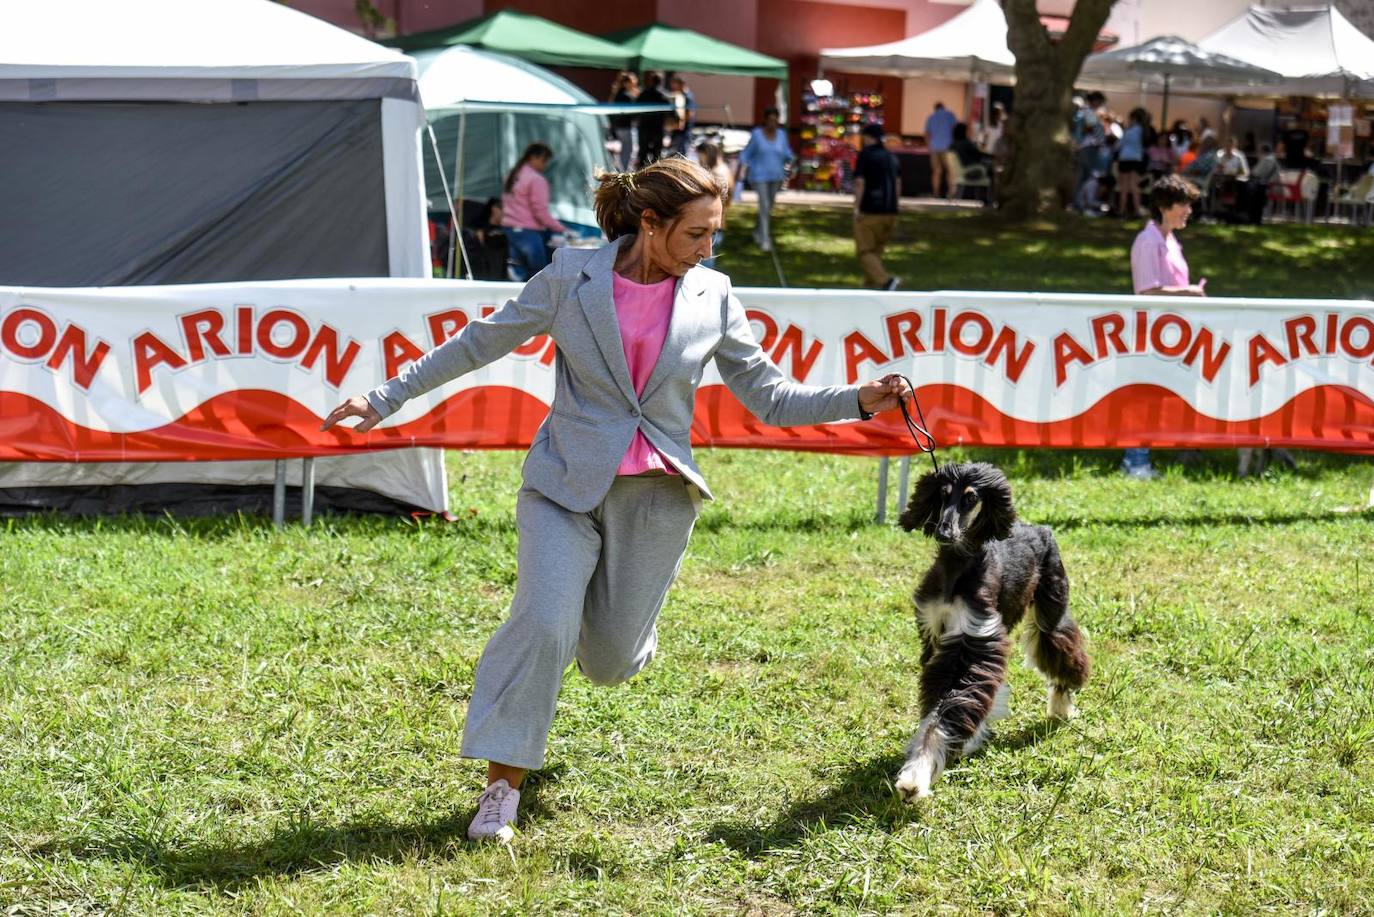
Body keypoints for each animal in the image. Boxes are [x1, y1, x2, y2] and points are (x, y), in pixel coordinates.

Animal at [895, 461, 1088, 797]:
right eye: (943, 494)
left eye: (971, 498)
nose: (944, 532)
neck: (957, 567)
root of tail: (1038, 527)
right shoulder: (936, 636)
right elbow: (940, 704)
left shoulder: (974, 638)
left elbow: (951, 705)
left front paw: (916, 777)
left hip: (1051, 604)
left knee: (1060, 644)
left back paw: (1062, 703)